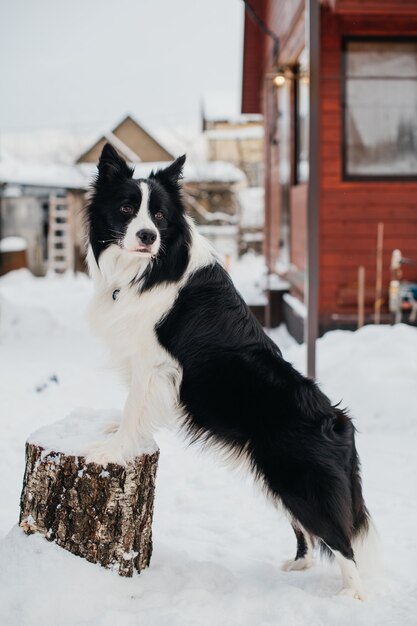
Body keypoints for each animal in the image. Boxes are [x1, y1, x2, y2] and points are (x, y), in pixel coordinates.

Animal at [84, 144, 370, 596]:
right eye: (127, 208)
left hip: (300, 481)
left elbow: (135, 407)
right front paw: (116, 430)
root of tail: (339, 421)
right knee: (309, 533)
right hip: (280, 480)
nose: (148, 236)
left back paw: (352, 596)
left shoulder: (154, 363)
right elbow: (133, 407)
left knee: (342, 541)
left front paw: (113, 449)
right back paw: (299, 566)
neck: (149, 267)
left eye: (160, 215)